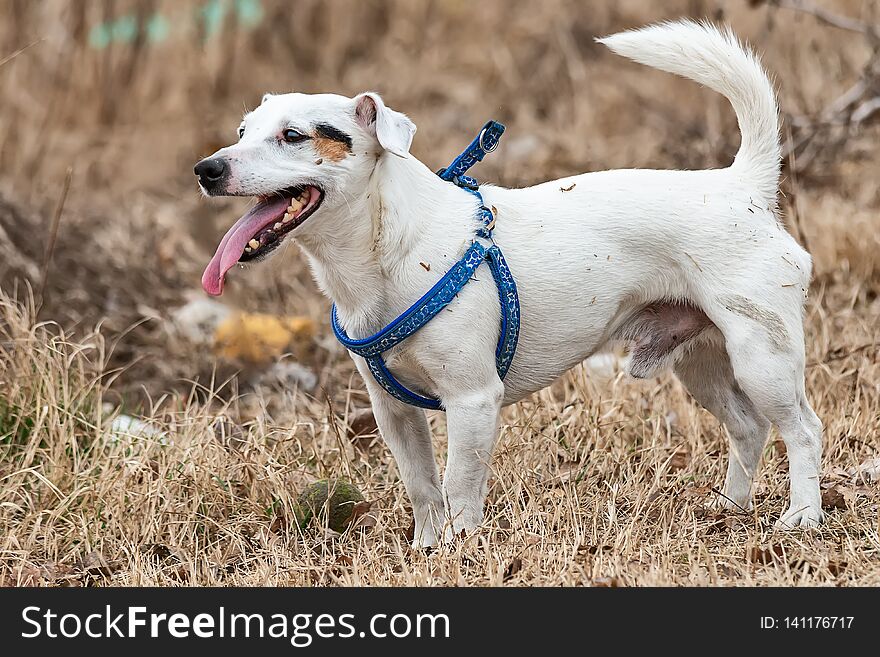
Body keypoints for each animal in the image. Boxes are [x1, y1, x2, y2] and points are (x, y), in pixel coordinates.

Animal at [194, 20, 824, 544]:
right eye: (242, 131)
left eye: (294, 136)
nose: (207, 169)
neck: (382, 253)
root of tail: (741, 185)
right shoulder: (393, 413)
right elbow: (423, 489)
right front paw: (427, 550)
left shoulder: (473, 400)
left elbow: (458, 487)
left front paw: (461, 550)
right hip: (700, 361)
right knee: (748, 428)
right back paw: (730, 507)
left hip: (762, 357)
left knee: (803, 429)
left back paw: (802, 517)